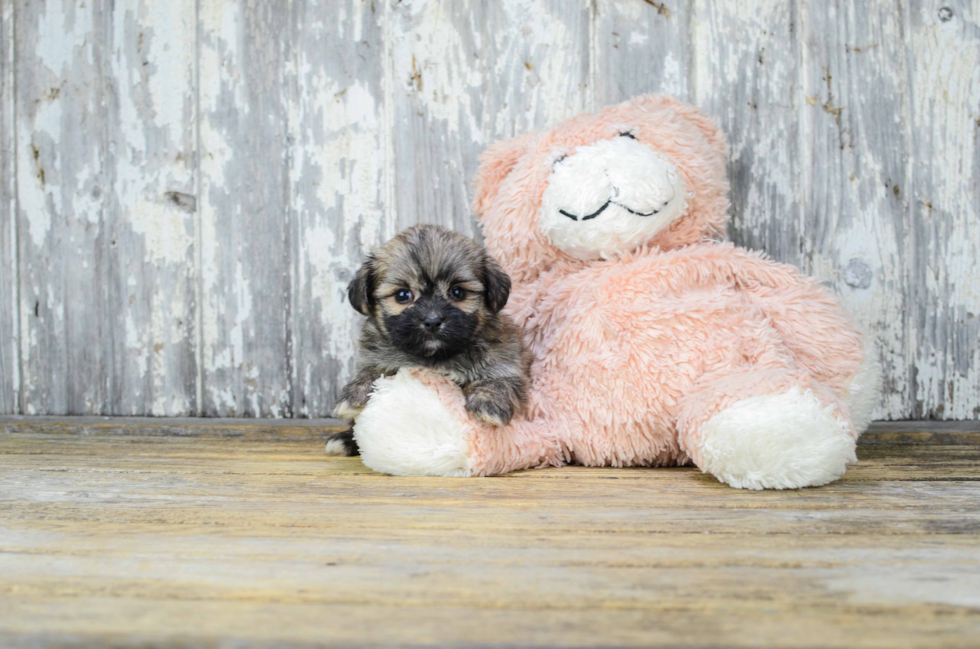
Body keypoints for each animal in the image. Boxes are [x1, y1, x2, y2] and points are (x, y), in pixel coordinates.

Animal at [328, 223, 528, 456]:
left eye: (457, 292)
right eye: (403, 295)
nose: (432, 321)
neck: (435, 356)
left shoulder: (507, 362)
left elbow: (498, 380)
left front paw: (488, 404)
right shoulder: (377, 358)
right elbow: (370, 372)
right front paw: (352, 395)